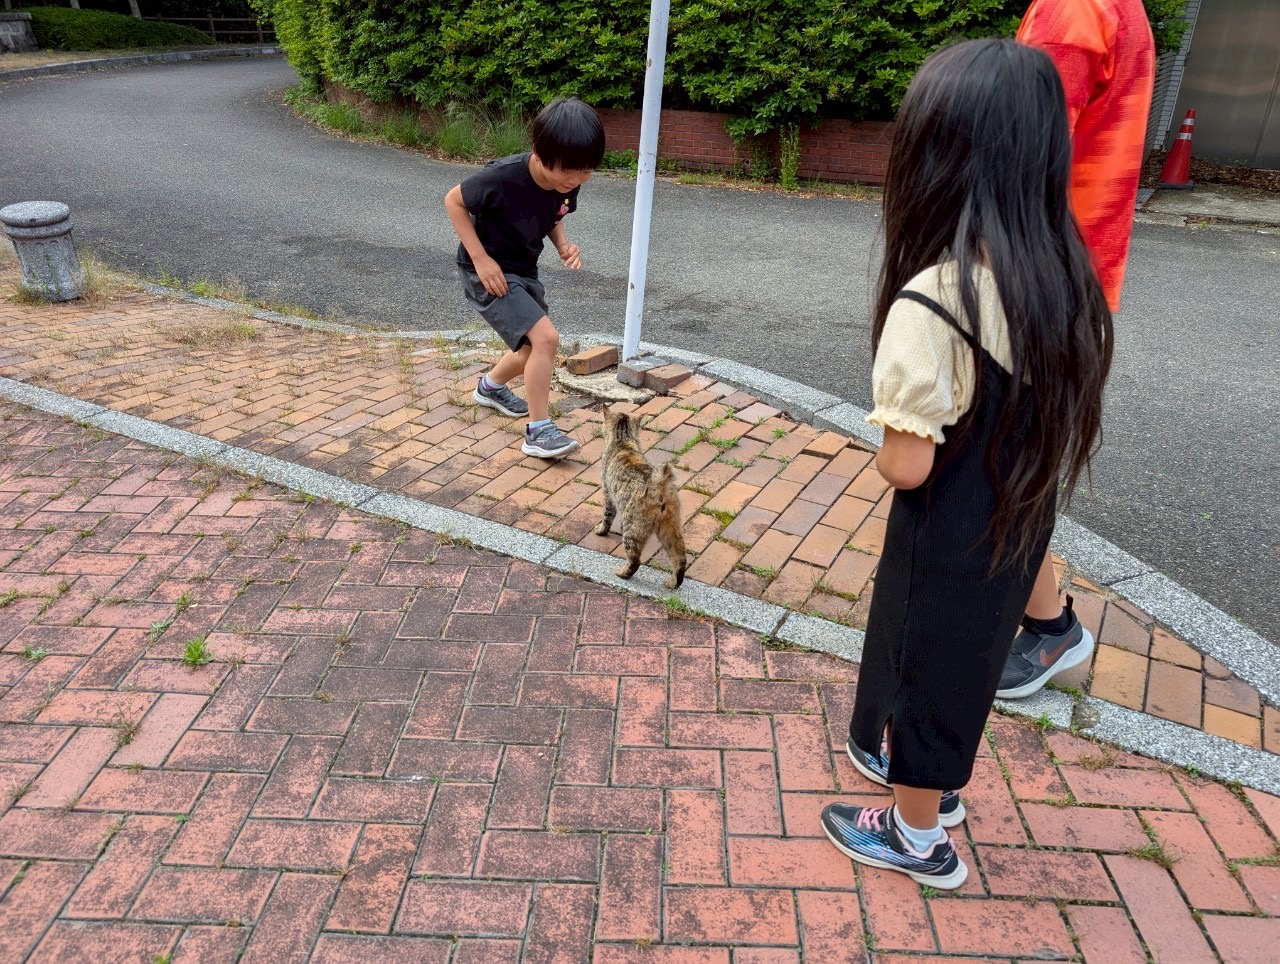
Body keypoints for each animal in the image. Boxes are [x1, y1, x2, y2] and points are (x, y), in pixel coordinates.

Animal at [596, 407, 688, 589]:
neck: (623, 441)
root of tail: (659, 484)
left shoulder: (608, 495)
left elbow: (606, 517)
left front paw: (600, 530)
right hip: (670, 530)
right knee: (680, 559)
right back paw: (673, 583)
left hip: (632, 529)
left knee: (634, 560)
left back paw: (622, 573)